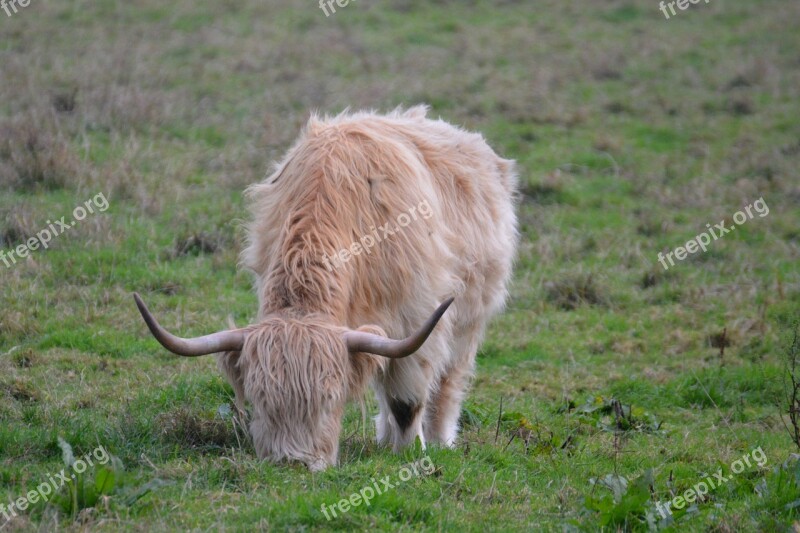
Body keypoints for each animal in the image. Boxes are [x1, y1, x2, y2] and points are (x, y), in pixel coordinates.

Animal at [134, 105, 516, 470]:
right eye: (258, 398)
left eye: (331, 398)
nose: (294, 462)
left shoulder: (418, 315)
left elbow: (407, 400)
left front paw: (411, 453)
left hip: (470, 315)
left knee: (449, 380)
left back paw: (438, 439)